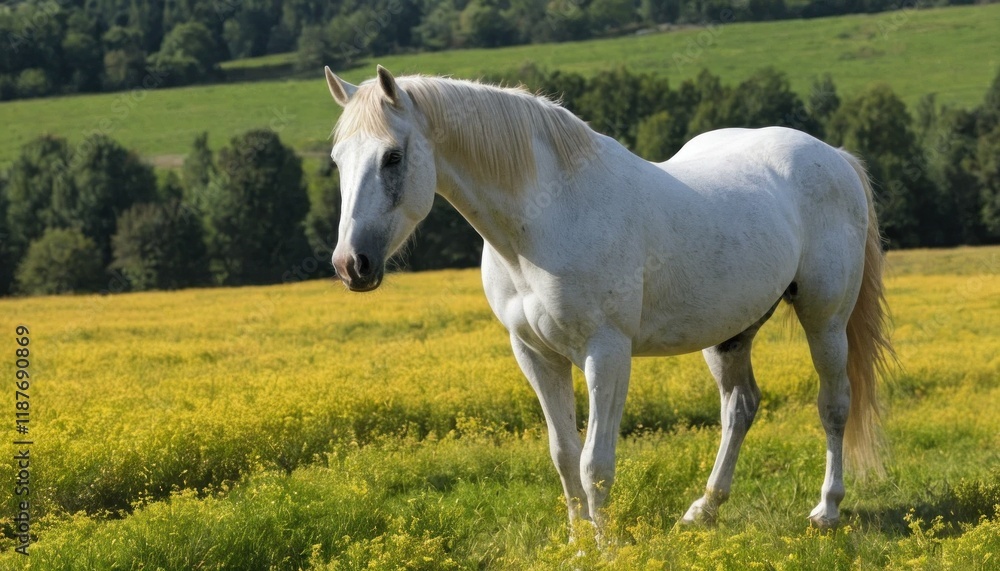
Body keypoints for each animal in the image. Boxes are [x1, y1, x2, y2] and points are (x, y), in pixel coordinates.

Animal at [323, 65, 893, 532]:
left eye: (393, 156)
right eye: (337, 160)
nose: (352, 264)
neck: (547, 218)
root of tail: (832, 156)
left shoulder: (607, 352)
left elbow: (595, 461)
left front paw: (606, 545)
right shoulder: (535, 354)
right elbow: (563, 453)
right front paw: (579, 544)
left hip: (825, 320)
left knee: (834, 406)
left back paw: (827, 509)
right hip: (731, 332)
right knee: (740, 407)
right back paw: (704, 509)